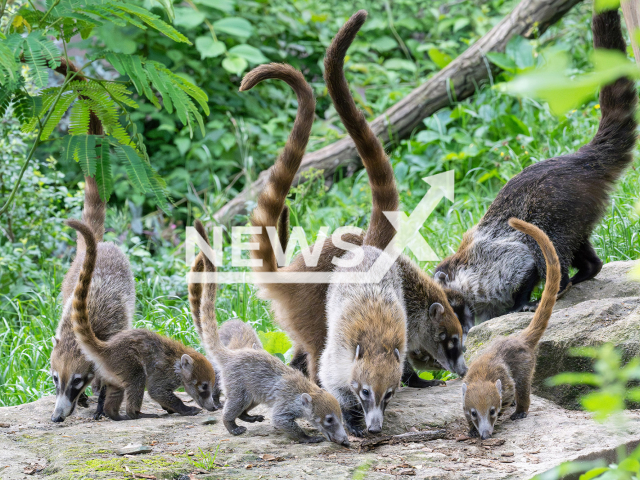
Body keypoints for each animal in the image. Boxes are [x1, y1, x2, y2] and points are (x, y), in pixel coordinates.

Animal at [50, 175, 134, 420]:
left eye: (77, 381)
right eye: (55, 378)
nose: (56, 417)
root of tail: (99, 244)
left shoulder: (114, 335)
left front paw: (102, 402)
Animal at [71, 219, 218, 418]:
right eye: (203, 387)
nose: (213, 407)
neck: (178, 363)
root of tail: (107, 348)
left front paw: (171, 408)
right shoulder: (165, 373)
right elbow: (156, 391)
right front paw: (184, 408)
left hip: (112, 373)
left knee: (118, 389)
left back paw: (113, 414)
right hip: (127, 362)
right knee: (138, 378)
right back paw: (135, 413)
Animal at [194, 222, 350, 446]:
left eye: (339, 417)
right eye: (328, 420)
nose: (345, 440)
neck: (307, 390)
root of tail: (232, 354)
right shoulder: (286, 402)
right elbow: (279, 419)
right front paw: (307, 437)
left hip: (254, 391)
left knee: (250, 402)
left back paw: (247, 416)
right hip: (237, 384)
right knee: (235, 402)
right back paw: (231, 423)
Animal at [436, 6, 636, 322]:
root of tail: (578, 160)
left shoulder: (492, 263)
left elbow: (525, 261)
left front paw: (519, 302)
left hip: (557, 203)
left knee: (545, 242)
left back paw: (560, 285)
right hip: (578, 212)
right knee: (581, 247)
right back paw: (589, 269)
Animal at [460, 218, 560, 438]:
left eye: (492, 411)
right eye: (474, 413)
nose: (485, 435)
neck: (482, 375)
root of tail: (519, 338)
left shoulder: (507, 384)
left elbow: (511, 394)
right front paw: (471, 429)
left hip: (525, 368)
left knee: (523, 389)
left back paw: (520, 410)